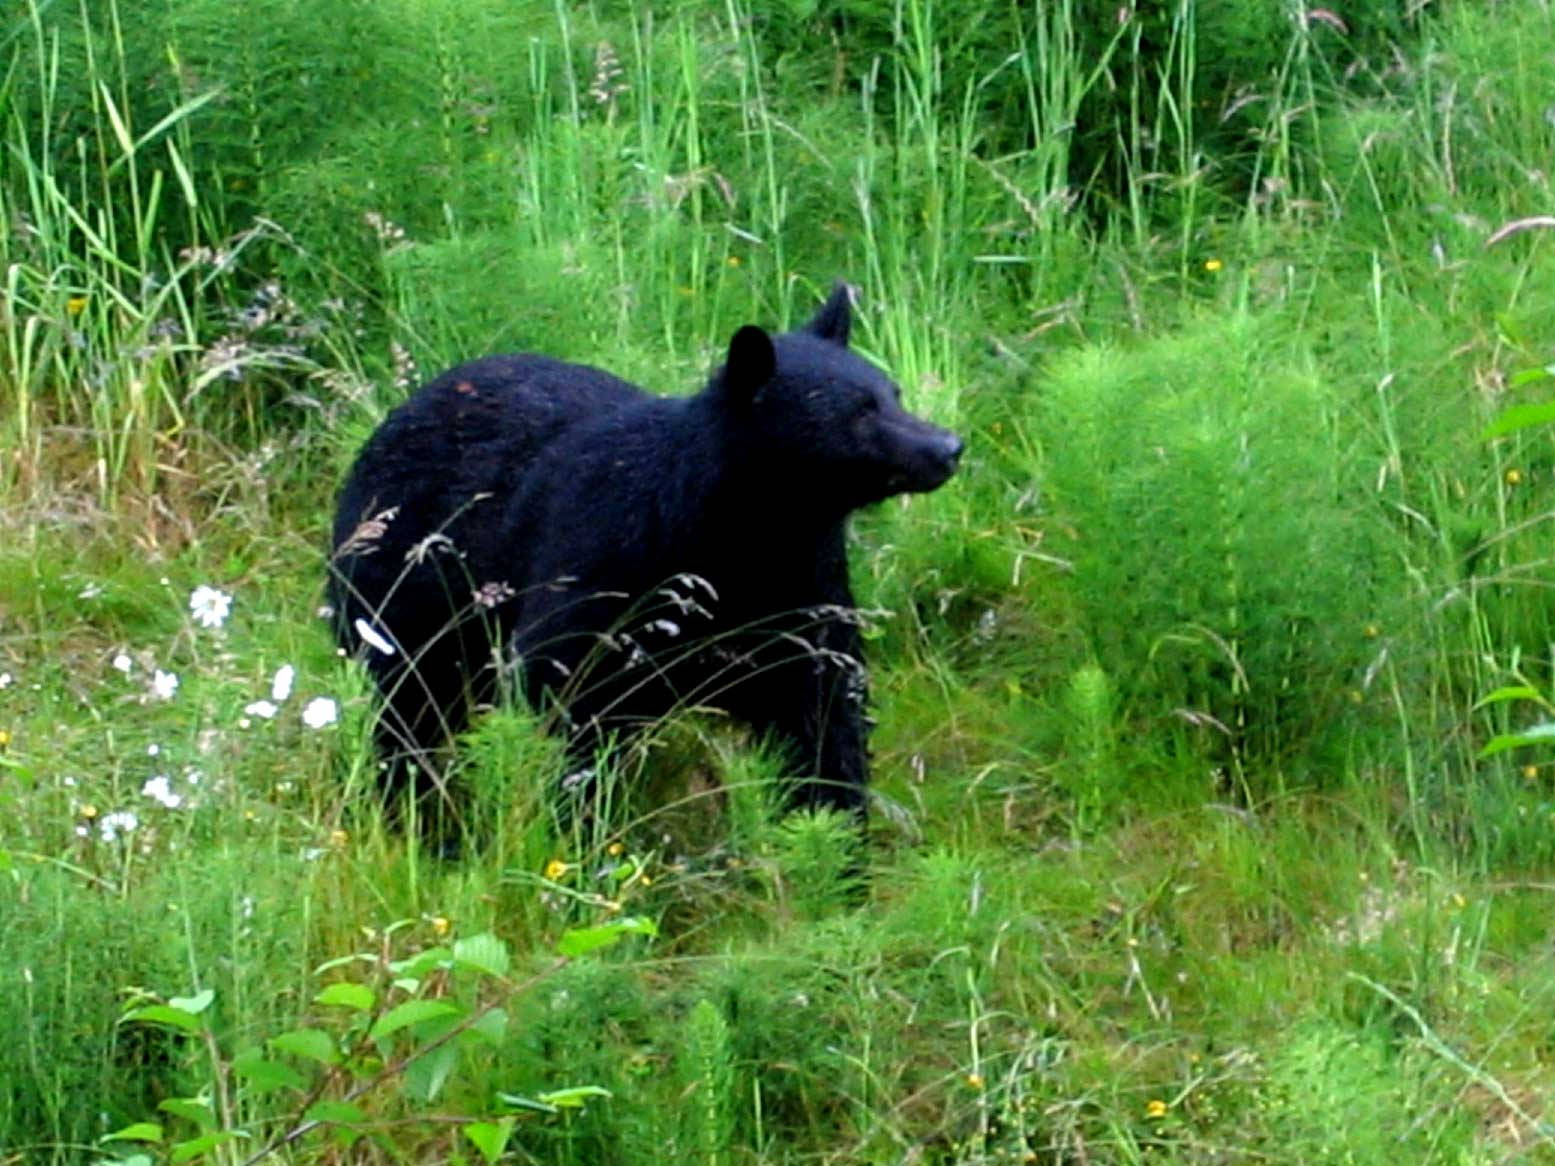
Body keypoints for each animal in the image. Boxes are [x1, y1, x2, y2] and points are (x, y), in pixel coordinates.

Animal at [329, 286, 957, 820]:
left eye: (893, 393)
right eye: (860, 411)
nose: (948, 446)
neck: (743, 536)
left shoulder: (802, 589)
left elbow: (824, 716)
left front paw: (839, 841)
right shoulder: (606, 570)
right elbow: (566, 700)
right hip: (400, 593)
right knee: (408, 711)